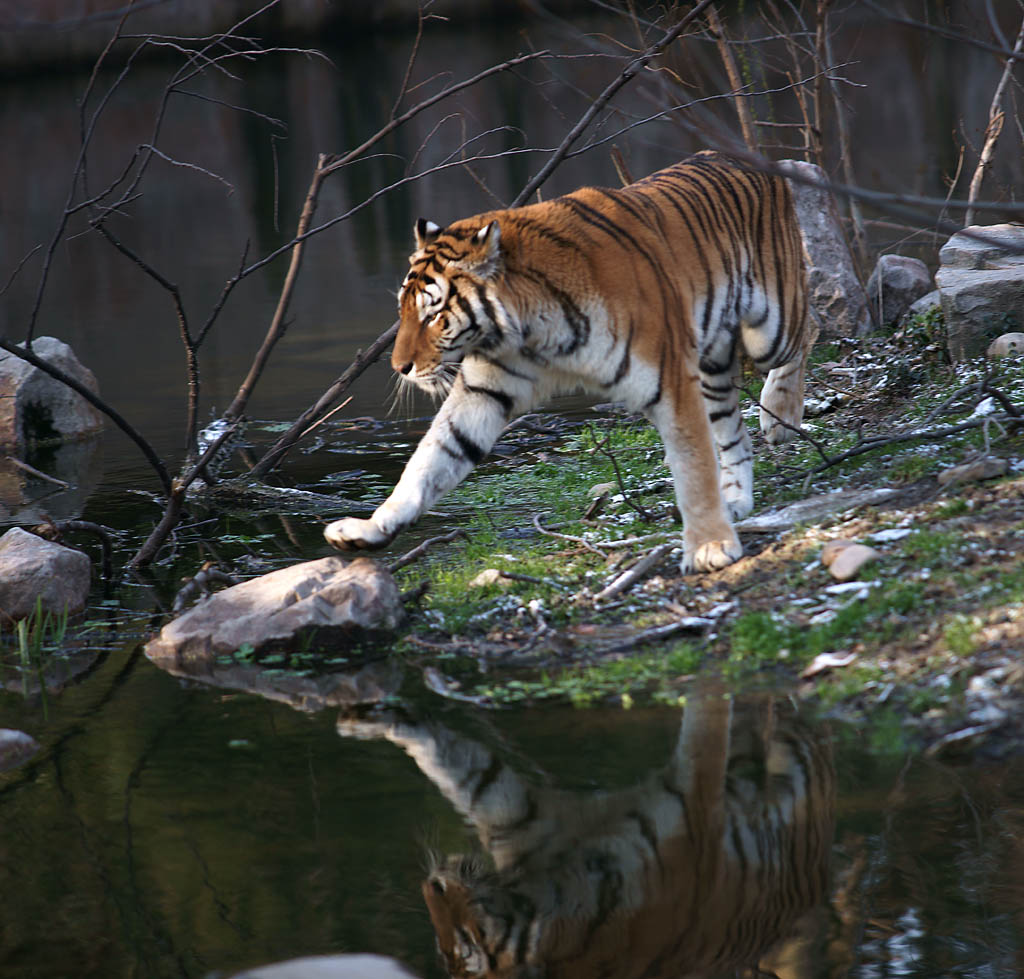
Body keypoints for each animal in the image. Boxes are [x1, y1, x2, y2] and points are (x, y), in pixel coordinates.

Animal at [323, 152, 811, 573]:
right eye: (403, 312)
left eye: (433, 315)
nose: (399, 367)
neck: (529, 332)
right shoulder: (484, 390)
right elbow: (428, 462)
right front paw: (368, 529)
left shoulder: (672, 381)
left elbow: (693, 467)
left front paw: (709, 546)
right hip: (711, 363)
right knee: (732, 432)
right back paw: (736, 499)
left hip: (771, 326)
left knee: (810, 327)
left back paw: (781, 415)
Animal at [339, 688, 835, 979]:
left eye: (466, 944)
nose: (432, 884)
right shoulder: (520, 817)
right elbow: (460, 766)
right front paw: (379, 718)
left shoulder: (694, 804)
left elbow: (705, 721)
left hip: (792, 760)